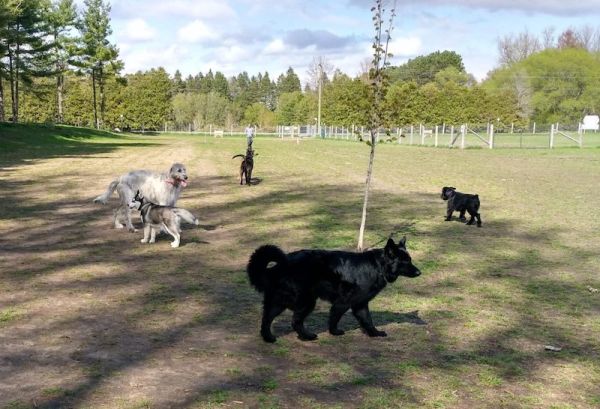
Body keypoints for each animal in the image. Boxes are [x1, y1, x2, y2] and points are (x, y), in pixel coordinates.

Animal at [246, 236, 420, 342]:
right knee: (295, 321)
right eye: (405, 261)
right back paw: (307, 336)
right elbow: (335, 317)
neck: (378, 266)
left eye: (410, 259)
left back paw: (268, 338)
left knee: (266, 319)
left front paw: (374, 333)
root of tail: (277, 267)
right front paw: (334, 332)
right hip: (306, 301)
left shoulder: (360, 304)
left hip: (279, 302)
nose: (419, 272)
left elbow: (367, 321)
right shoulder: (343, 302)